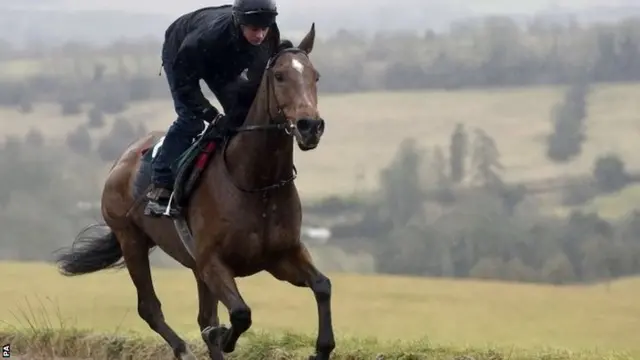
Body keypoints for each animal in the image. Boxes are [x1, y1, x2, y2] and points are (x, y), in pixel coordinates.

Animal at [52, 24, 336, 360]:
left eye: (315, 76)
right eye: (279, 76)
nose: (310, 126)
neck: (256, 183)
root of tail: (123, 160)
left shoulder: (281, 256)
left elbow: (322, 285)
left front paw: (322, 348)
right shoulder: (213, 262)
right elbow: (240, 314)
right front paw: (224, 337)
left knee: (202, 315)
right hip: (131, 239)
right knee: (150, 308)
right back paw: (183, 348)